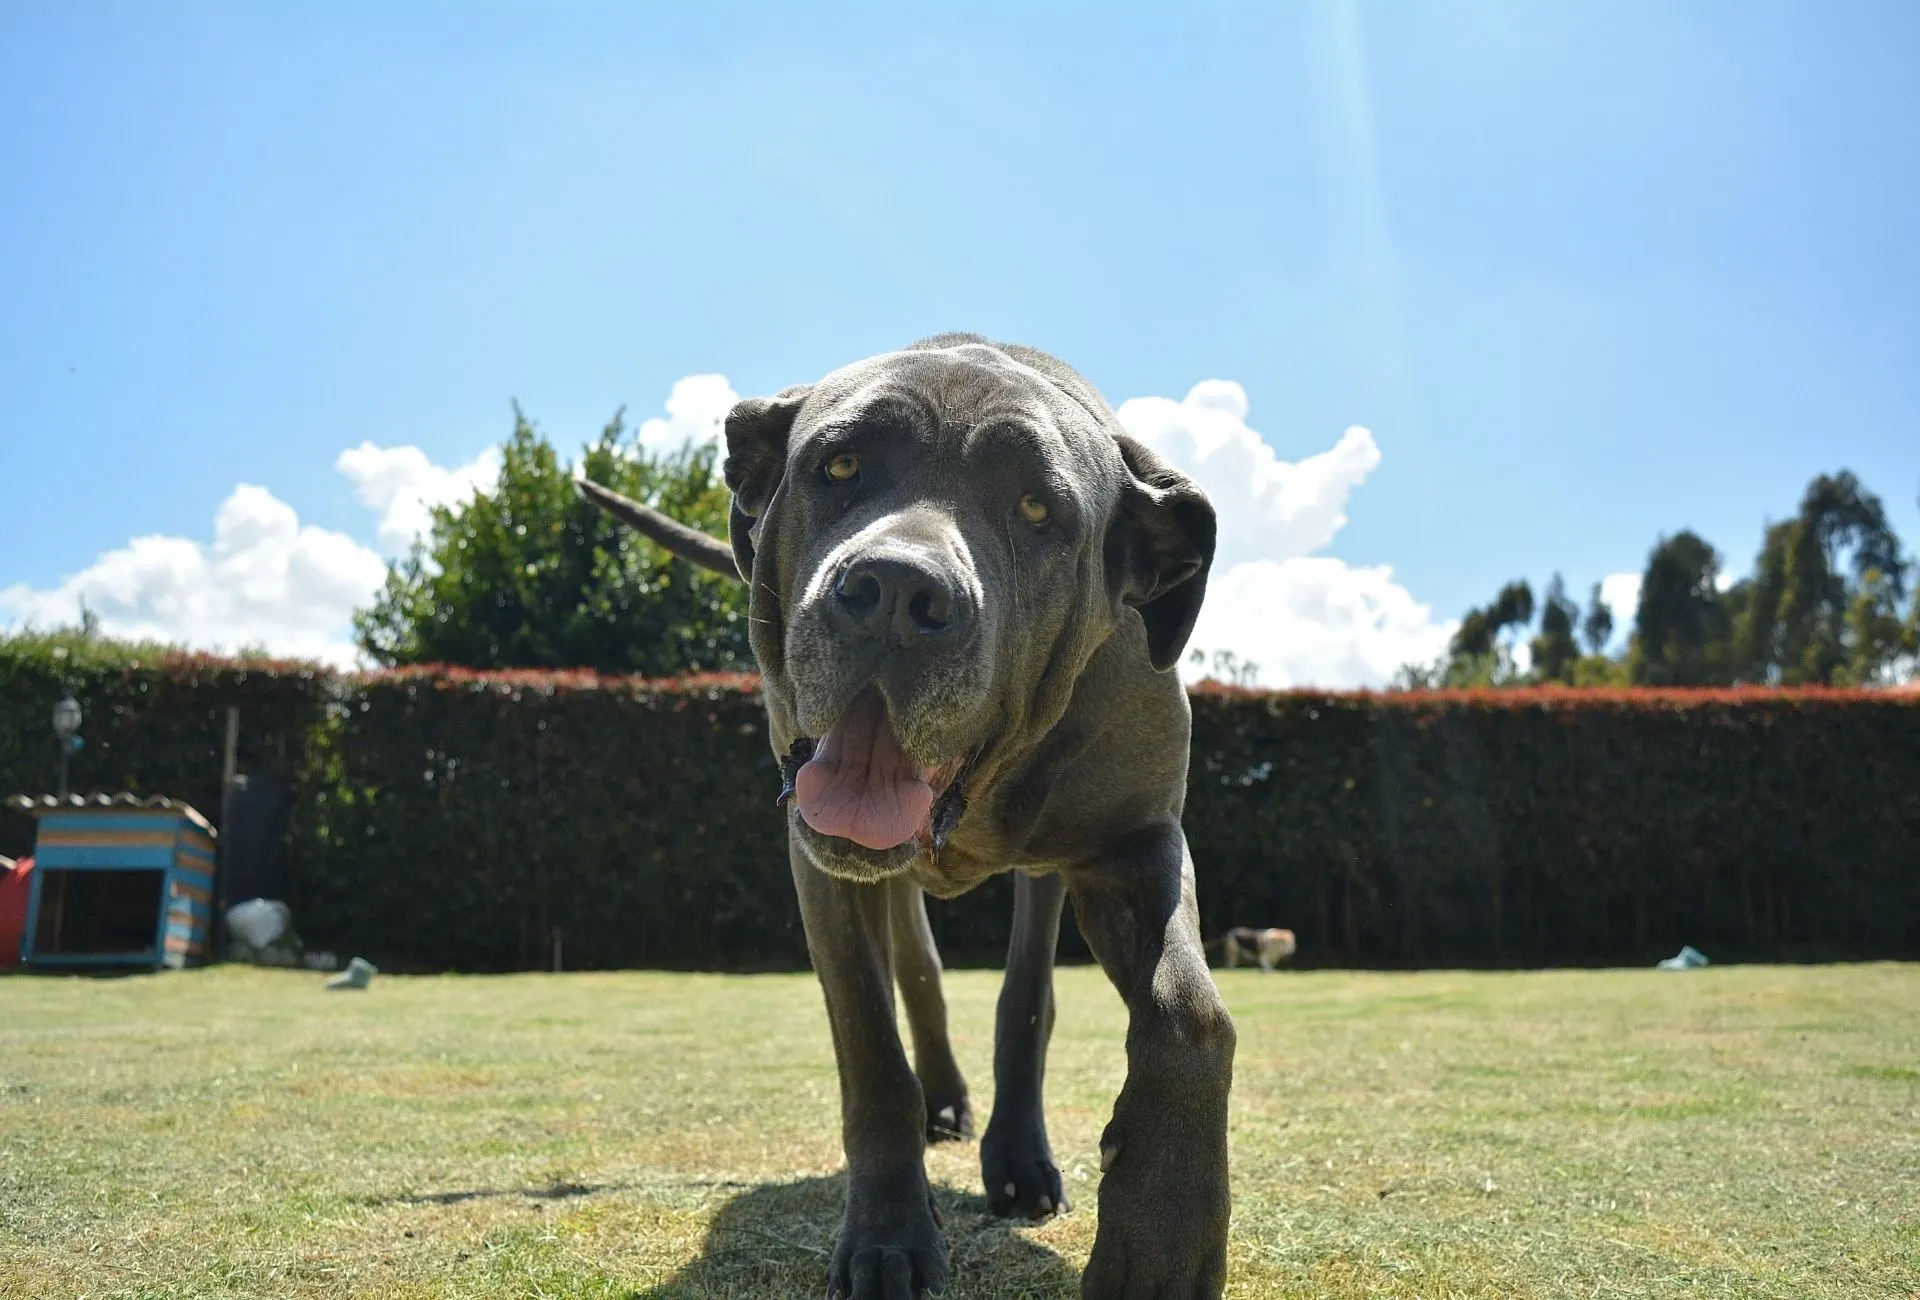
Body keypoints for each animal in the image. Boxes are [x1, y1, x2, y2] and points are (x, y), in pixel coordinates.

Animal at [579, 334, 1228, 1298]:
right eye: (840, 465)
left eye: (1038, 509)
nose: (892, 590)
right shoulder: (821, 866)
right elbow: (871, 1048)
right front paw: (889, 1235)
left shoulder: (1133, 844)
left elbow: (1189, 1017)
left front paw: (1165, 1239)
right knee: (917, 967)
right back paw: (945, 1102)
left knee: (1025, 992)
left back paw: (1017, 1155)